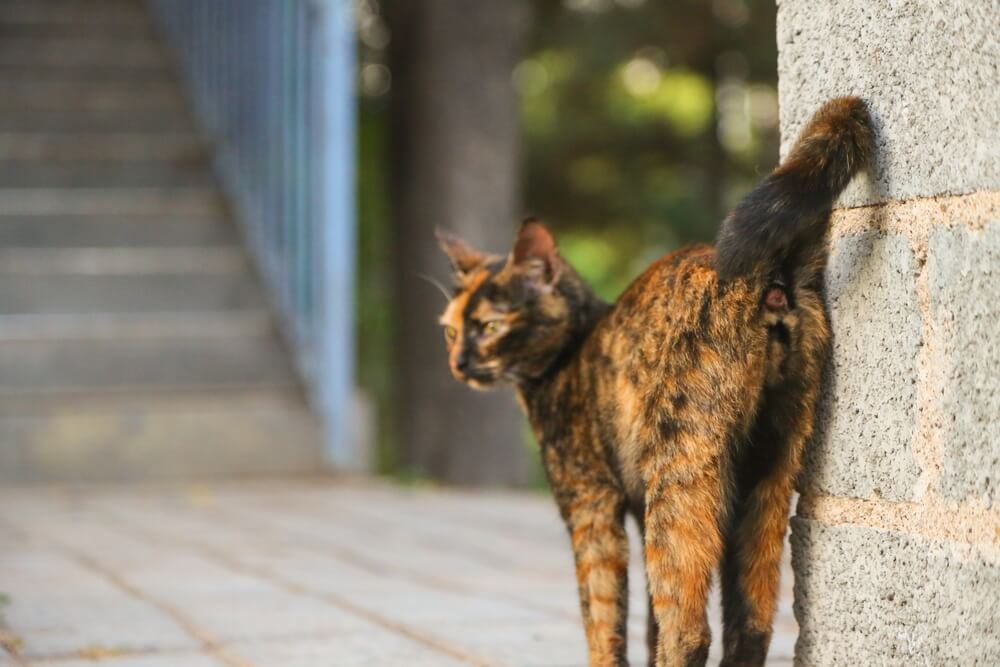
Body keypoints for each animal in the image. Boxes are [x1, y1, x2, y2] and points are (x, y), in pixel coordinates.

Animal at [434, 95, 872, 667]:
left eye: (489, 327)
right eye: (449, 330)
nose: (458, 362)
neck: (570, 354)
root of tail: (767, 278)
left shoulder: (591, 509)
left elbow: (603, 619)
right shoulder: (638, 511)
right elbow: (646, 623)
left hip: (679, 481)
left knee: (689, 629)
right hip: (768, 479)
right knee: (749, 624)